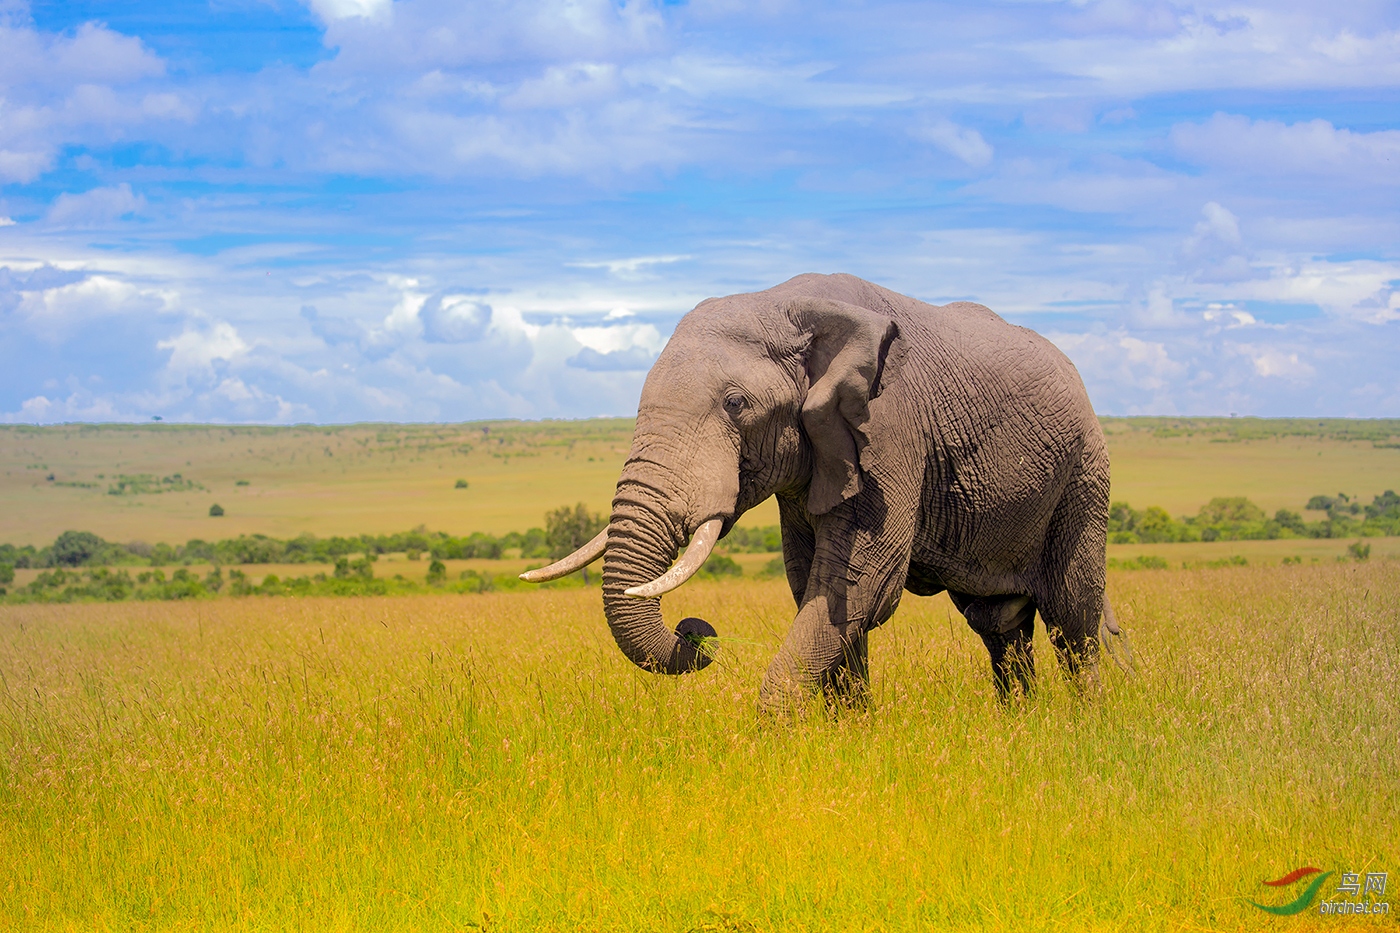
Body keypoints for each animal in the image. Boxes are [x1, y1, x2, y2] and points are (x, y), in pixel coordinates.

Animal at [524, 273, 1121, 708]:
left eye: (736, 404)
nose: (697, 633)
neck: (784, 302)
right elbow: (819, 592)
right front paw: (852, 735)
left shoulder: (889, 427)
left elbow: (858, 586)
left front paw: (773, 746)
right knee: (999, 623)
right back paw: (1020, 725)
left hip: (1084, 472)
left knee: (1071, 617)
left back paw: (1082, 727)